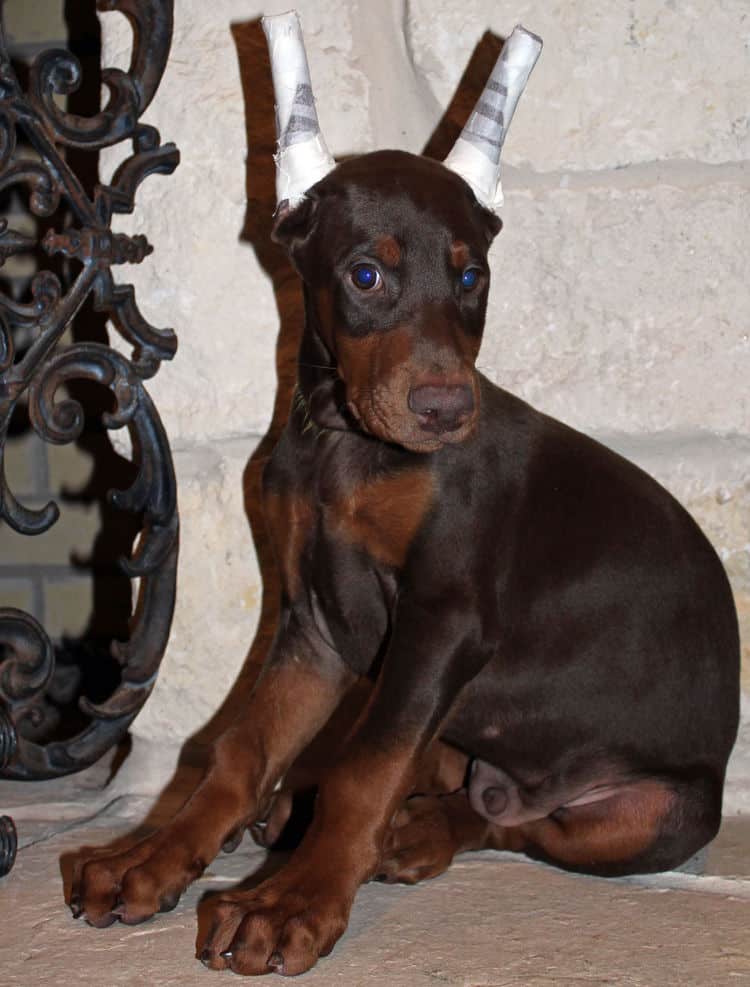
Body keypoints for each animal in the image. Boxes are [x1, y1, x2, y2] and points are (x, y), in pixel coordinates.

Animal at [70, 151, 740, 976]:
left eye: (471, 276)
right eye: (366, 276)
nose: (447, 411)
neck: (347, 446)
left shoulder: (444, 620)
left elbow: (365, 772)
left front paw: (291, 901)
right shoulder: (314, 628)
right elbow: (242, 747)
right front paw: (151, 854)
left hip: (658, 813)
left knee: (512, 825)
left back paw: (410, 833)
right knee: (465, 790)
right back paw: (302, 811)